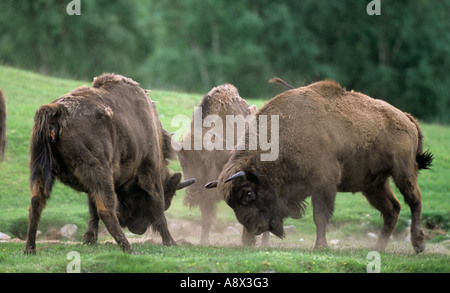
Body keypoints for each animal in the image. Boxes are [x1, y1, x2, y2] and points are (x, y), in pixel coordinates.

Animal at [24, 73, 193, 253]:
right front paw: (171, 242)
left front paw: (89, 238)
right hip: (99, 171)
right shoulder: (150, 170)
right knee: (106, 210)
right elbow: (158, 208)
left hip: (39, 169)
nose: (138, 229)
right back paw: (129, 249)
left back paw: (30, 249)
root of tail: (57, 110)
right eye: (168, 195)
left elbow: (92, 208)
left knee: (36, 203)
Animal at [174, 84, 268, 244]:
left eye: (206, 160)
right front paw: (202, 242)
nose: (193, 193)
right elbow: (206, 220)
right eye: (181, 161)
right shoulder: (206, 197)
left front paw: (248, 242)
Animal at [207, 80, 432, 253]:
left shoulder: (323, 184)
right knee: (392, 209)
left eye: (248, 194)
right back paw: (378, 247)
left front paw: (320, 246)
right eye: (230, 203)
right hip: (373, 185)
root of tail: (406, 118)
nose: (255, 229)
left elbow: (320, 216)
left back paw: (418, 244)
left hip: (403, 172)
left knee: (414, 201)